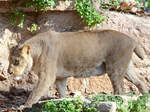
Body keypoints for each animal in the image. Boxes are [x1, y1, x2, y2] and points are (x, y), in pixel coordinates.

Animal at [7, 29, 149, 109]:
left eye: (16, 61)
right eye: (9, 60)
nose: (9, 72)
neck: (36, 52)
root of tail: (132, 39)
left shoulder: (47, 77)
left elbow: (35, 92)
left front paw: (25, 106)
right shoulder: (60, 78)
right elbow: (62, 92)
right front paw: (63, 101)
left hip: (115, 69)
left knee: (120, 90)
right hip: (127, 69)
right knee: (140, 81)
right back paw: (146, 97)